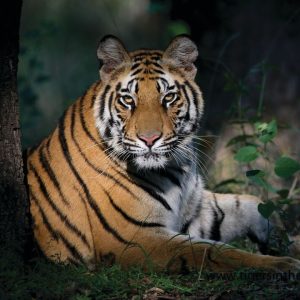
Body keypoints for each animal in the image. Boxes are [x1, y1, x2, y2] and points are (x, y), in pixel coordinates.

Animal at [26, 34, 300, 272]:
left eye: (168, 97)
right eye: (128, 100)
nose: (149, 139)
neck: (176, 168)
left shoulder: (197, 209)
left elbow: (251, 204)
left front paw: (287, 238)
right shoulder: (135, 237)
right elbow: (213, 251)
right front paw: (282, 264)